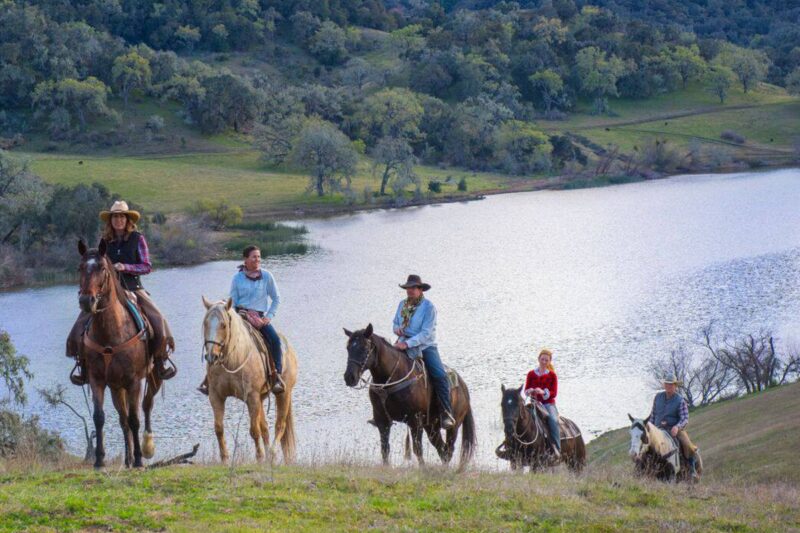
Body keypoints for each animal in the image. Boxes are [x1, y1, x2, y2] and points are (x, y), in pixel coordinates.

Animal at [75, 239, 162, 468]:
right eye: (80, 268)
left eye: (102, 268)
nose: (86, 301)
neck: (110, 333)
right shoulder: (97, 380)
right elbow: (99, 417)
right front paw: (99, 460)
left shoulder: (134, 381)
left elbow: (135, 419)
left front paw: (140, 459)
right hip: (116, 387)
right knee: (123, 420)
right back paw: (127, 458)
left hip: (152, 377)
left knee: (146, 406)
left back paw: (145, 448)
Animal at [202, 296, 298, 462]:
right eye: (206, 323)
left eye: (223, 325)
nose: (211, 356)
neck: (233, 359)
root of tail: (289, 348)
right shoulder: (216, 396)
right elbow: (219, 429)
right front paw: (225, 460)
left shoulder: (251, 397)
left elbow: (254, 430)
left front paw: (259, 458)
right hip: (261, 397)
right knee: (265, 428)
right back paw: (269, 456)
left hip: (283, 393)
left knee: (280, 425)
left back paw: (272, 453)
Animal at [340, 322, 476, 468]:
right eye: (348, 348)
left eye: (365, 347)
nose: (349, 377)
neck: (390, 380)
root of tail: (463, 387)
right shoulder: (382, 421)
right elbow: (385, 449)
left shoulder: (415, 421)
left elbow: (417, 449)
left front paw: (423, 469)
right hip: (431, 427)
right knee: (442, 449)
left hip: (453, 427)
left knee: (449, 449)